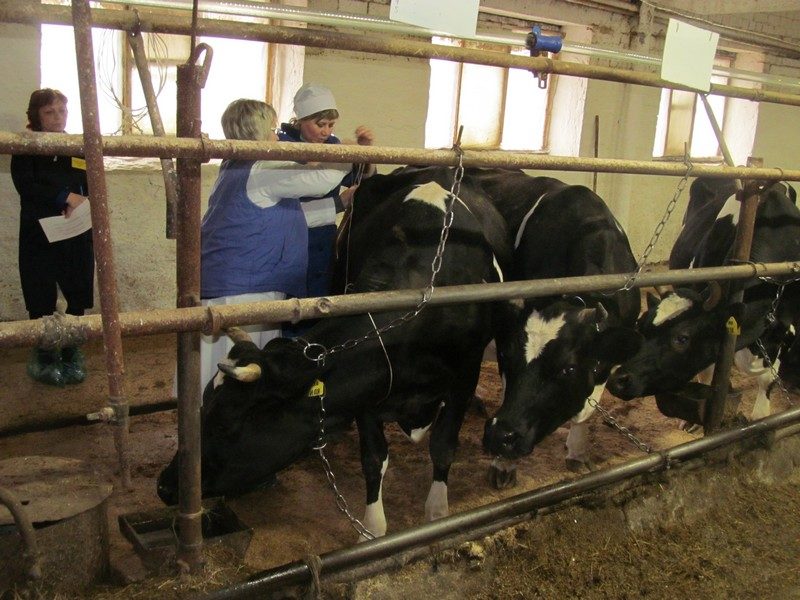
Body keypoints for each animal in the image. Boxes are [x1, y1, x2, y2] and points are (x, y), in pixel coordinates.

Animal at [157, 166, 510, 536]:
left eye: (226, 422)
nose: (164, 485)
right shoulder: (371, 391)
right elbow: (373, 458)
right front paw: (373, 528)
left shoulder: (465, 375)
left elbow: (443, 447)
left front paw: (437, 512)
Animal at [460, 169, 640, 488]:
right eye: (507, 356)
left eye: (568, 369)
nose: (499, 436)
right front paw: (503, 465)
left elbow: (588, 409)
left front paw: (578, 452)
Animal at [608, 178, 800, 422]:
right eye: (640, 325)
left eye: (682, 338)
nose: (616, 379)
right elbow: (710, 374)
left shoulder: (786, 328)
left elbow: (767, 380)